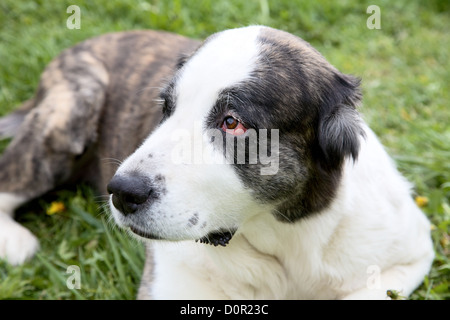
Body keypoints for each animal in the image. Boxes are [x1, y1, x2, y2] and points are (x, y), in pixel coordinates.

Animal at [0, 25, 436, 300]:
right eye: (166, 109)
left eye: (232, 123)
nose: (122, 192)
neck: (283, 235)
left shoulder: (410, 255)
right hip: (73, 106)